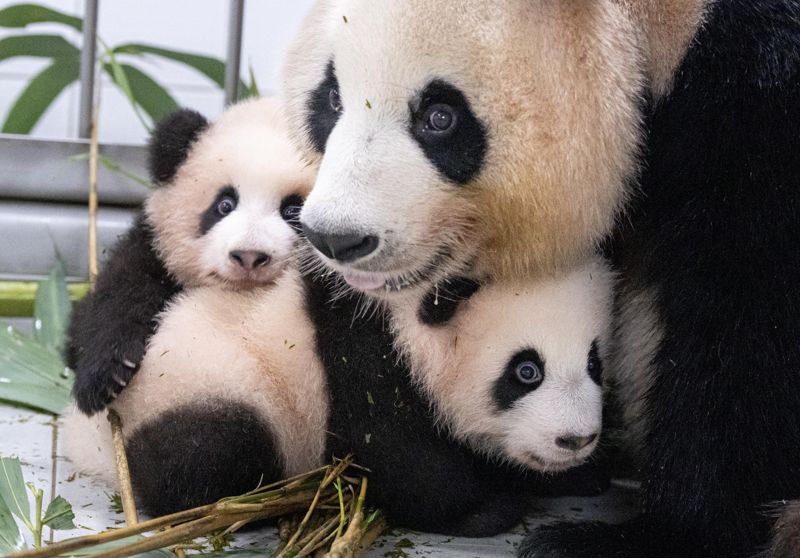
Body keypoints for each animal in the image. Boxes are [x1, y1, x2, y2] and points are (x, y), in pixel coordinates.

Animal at [280, 1, 800, 558]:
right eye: (331, 98)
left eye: (440, 117)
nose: (336, 238)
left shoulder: (759, 112)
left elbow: (748, 331)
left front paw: (659, 534)